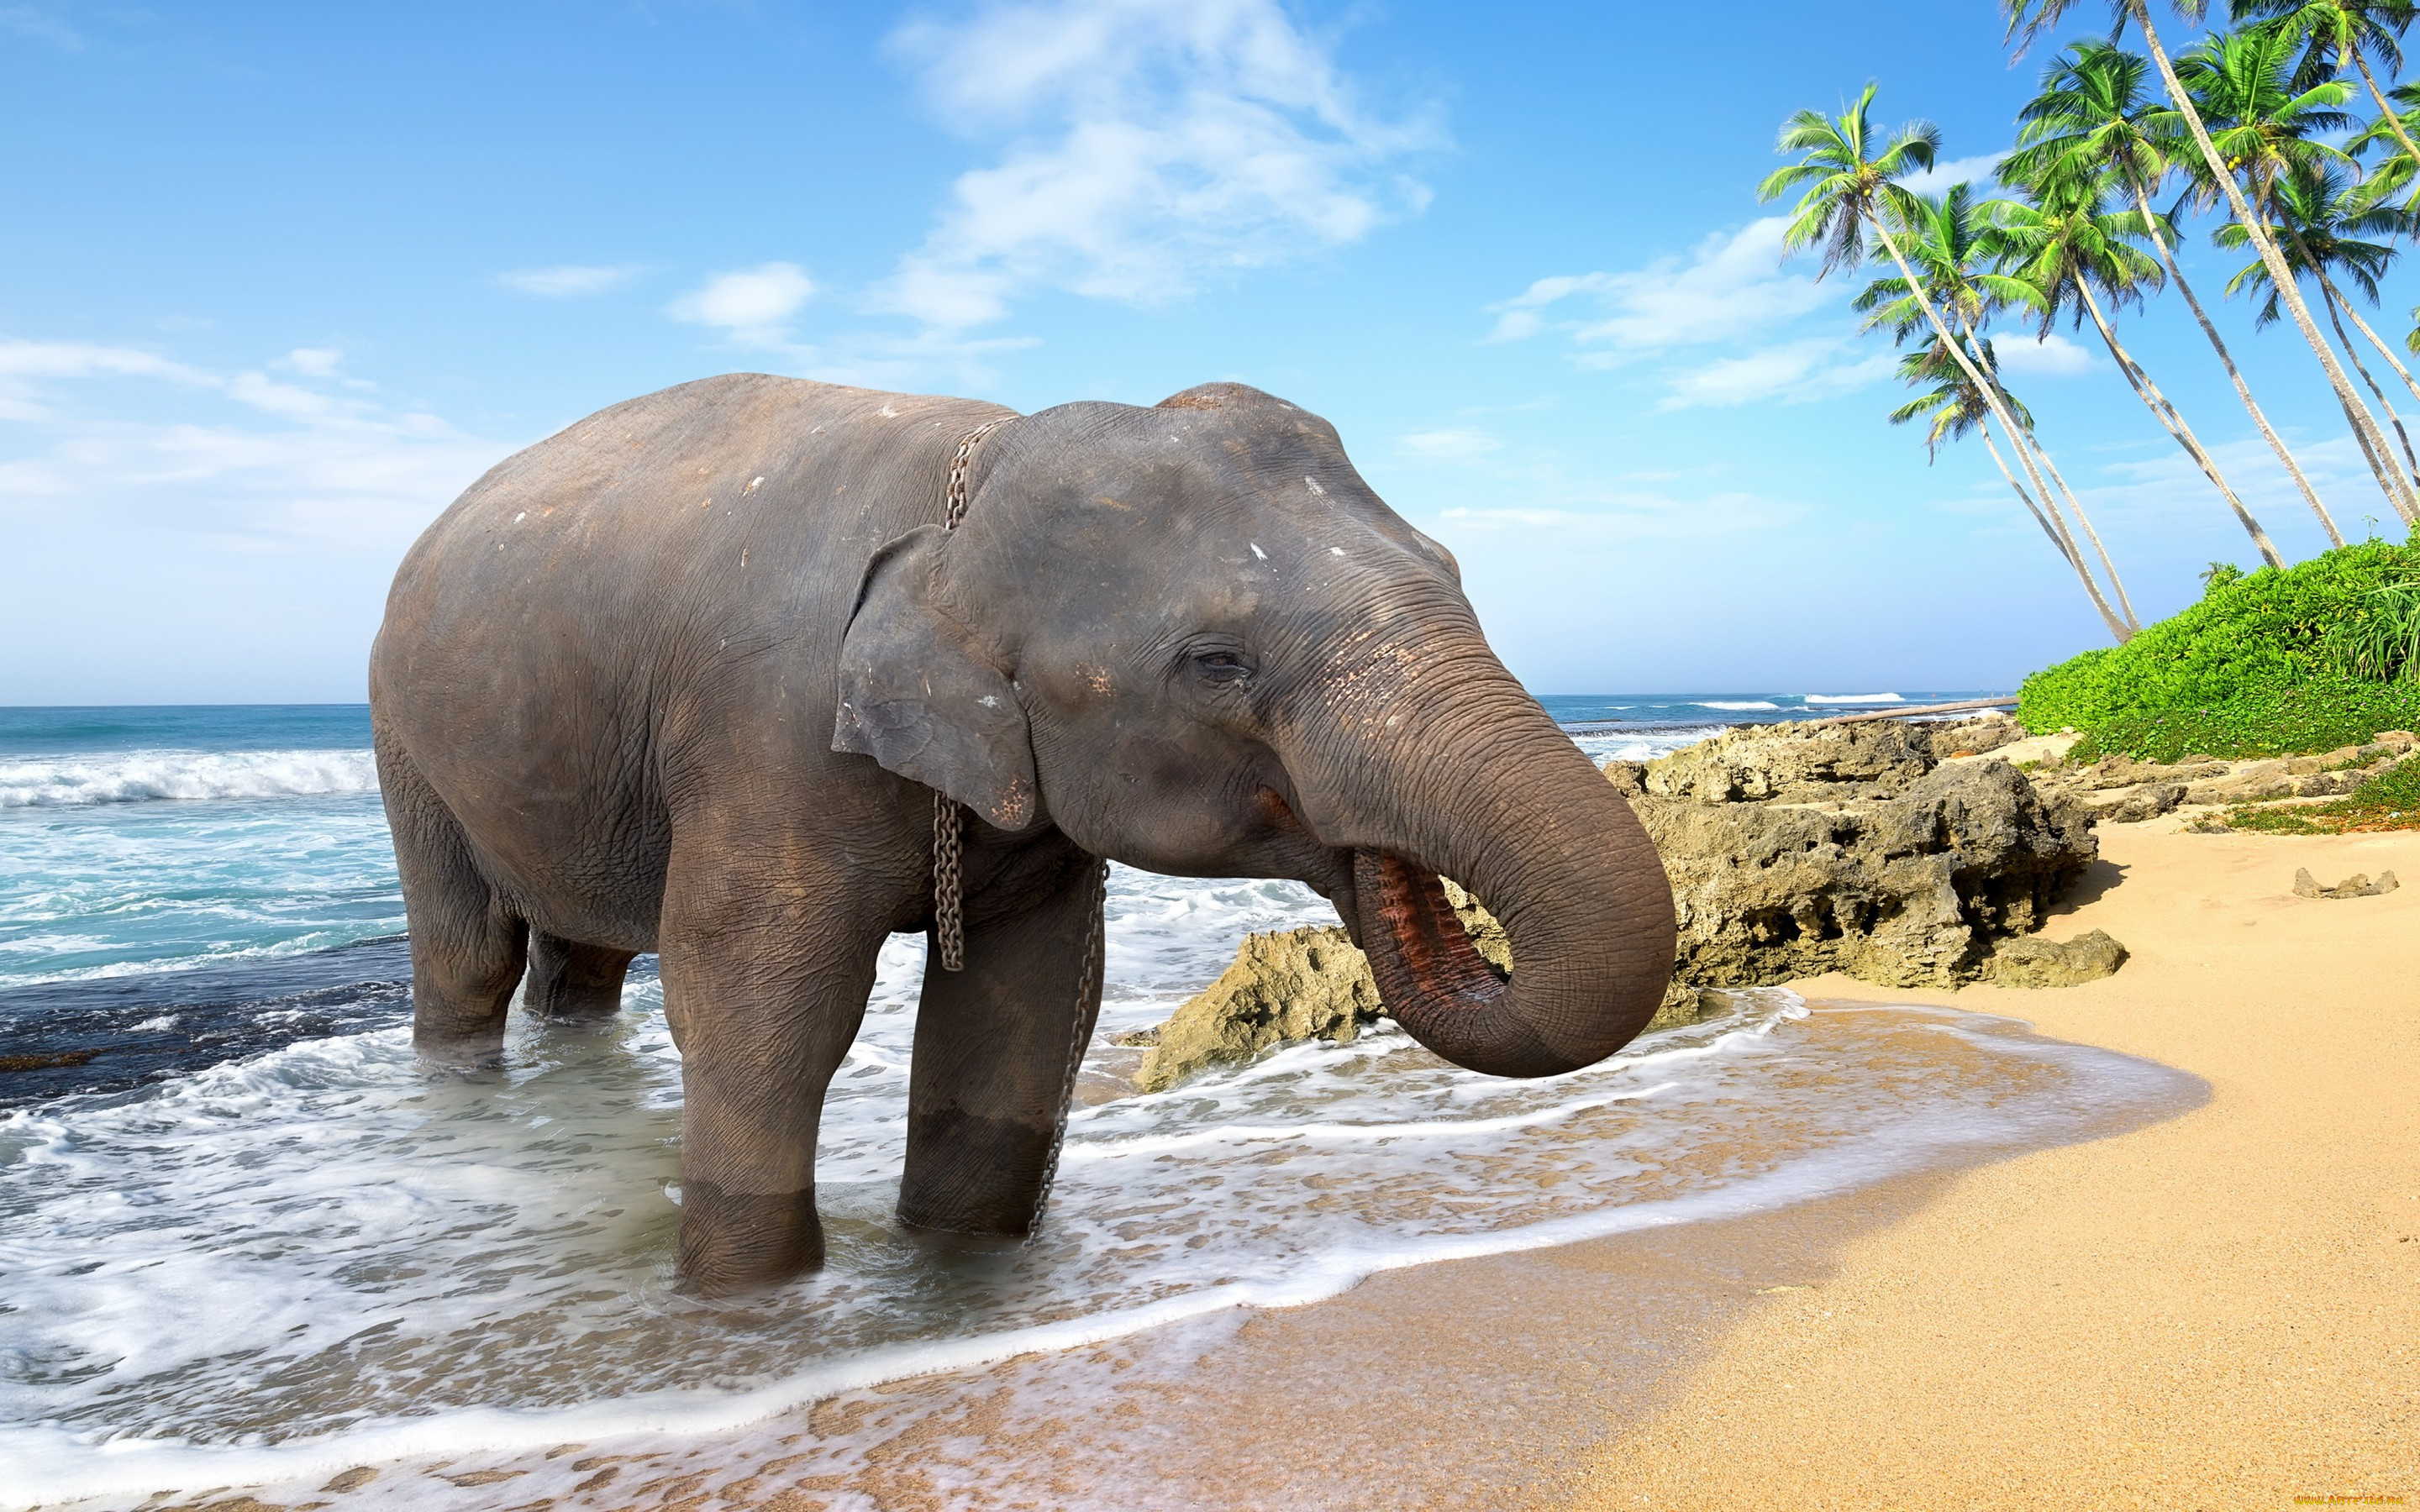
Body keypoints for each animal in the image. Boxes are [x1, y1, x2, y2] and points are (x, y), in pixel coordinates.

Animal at [368, 374, 1675, 1294]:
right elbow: (757, 1011)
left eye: (1453, 570)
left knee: (580, 962)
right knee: (469, 955)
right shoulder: (768, 734)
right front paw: (746, 1304)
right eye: (1217, 663)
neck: (970, 490)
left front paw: (955, 1267)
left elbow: (1022, 1012)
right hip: (405, 744)